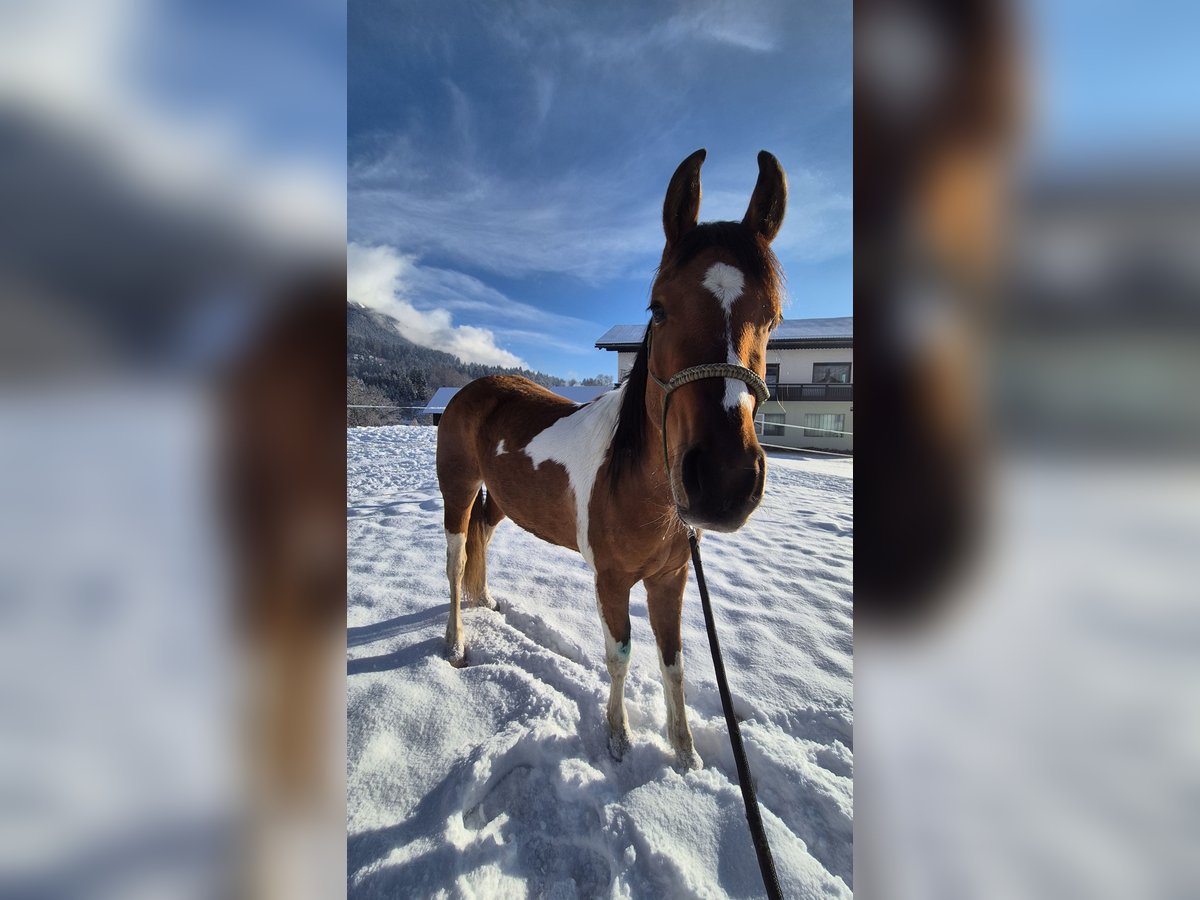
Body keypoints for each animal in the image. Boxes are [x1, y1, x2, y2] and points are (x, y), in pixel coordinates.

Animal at [435, 149, 787, 768]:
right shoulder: (612, 579)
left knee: (483, 538)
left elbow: (673, 663)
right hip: (456, 489)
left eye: (772, 317)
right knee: (455, 561)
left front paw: (684, 753)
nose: (723, 481)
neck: (641, 489)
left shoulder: (670, 579)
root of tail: (474, 389)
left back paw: (487, 600)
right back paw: (457, 643)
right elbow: (619, 655)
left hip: (499, 498)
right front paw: (618, 737)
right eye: (659, 308)